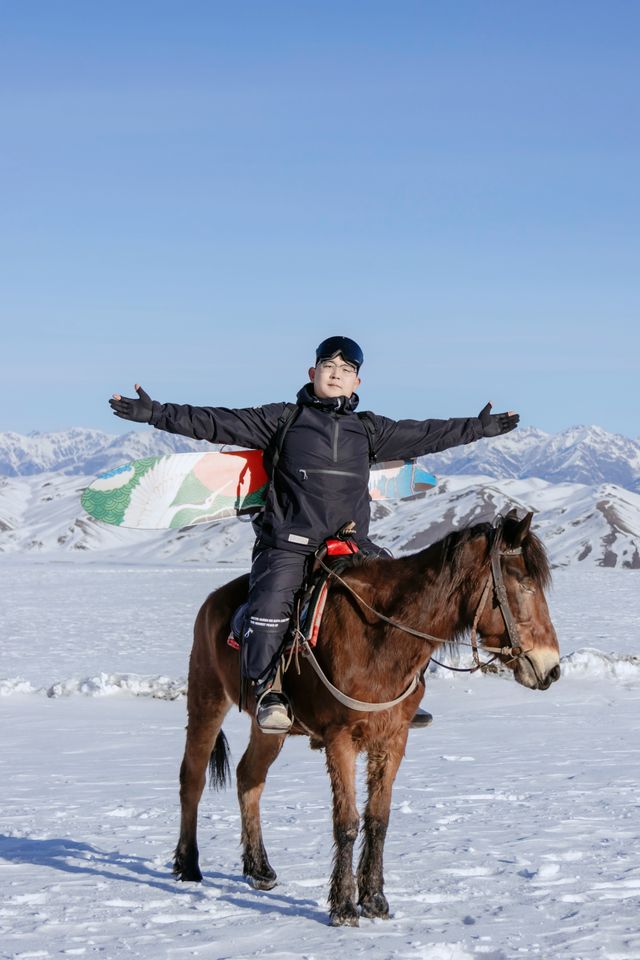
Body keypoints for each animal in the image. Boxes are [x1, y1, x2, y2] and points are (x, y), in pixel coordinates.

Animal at [172, 512, 556, 928]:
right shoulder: (339, 738)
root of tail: (212, 602)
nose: (552, 667)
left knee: (249, 777)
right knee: (192, 778)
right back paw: (187, 864)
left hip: (270, 728)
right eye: (524, 583)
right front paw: (342, 906)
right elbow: (346, 821)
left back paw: (259, 869)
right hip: (207, 697)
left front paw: (374, 899)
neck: (381, 638)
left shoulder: (393, 738)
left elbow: (378, 819)